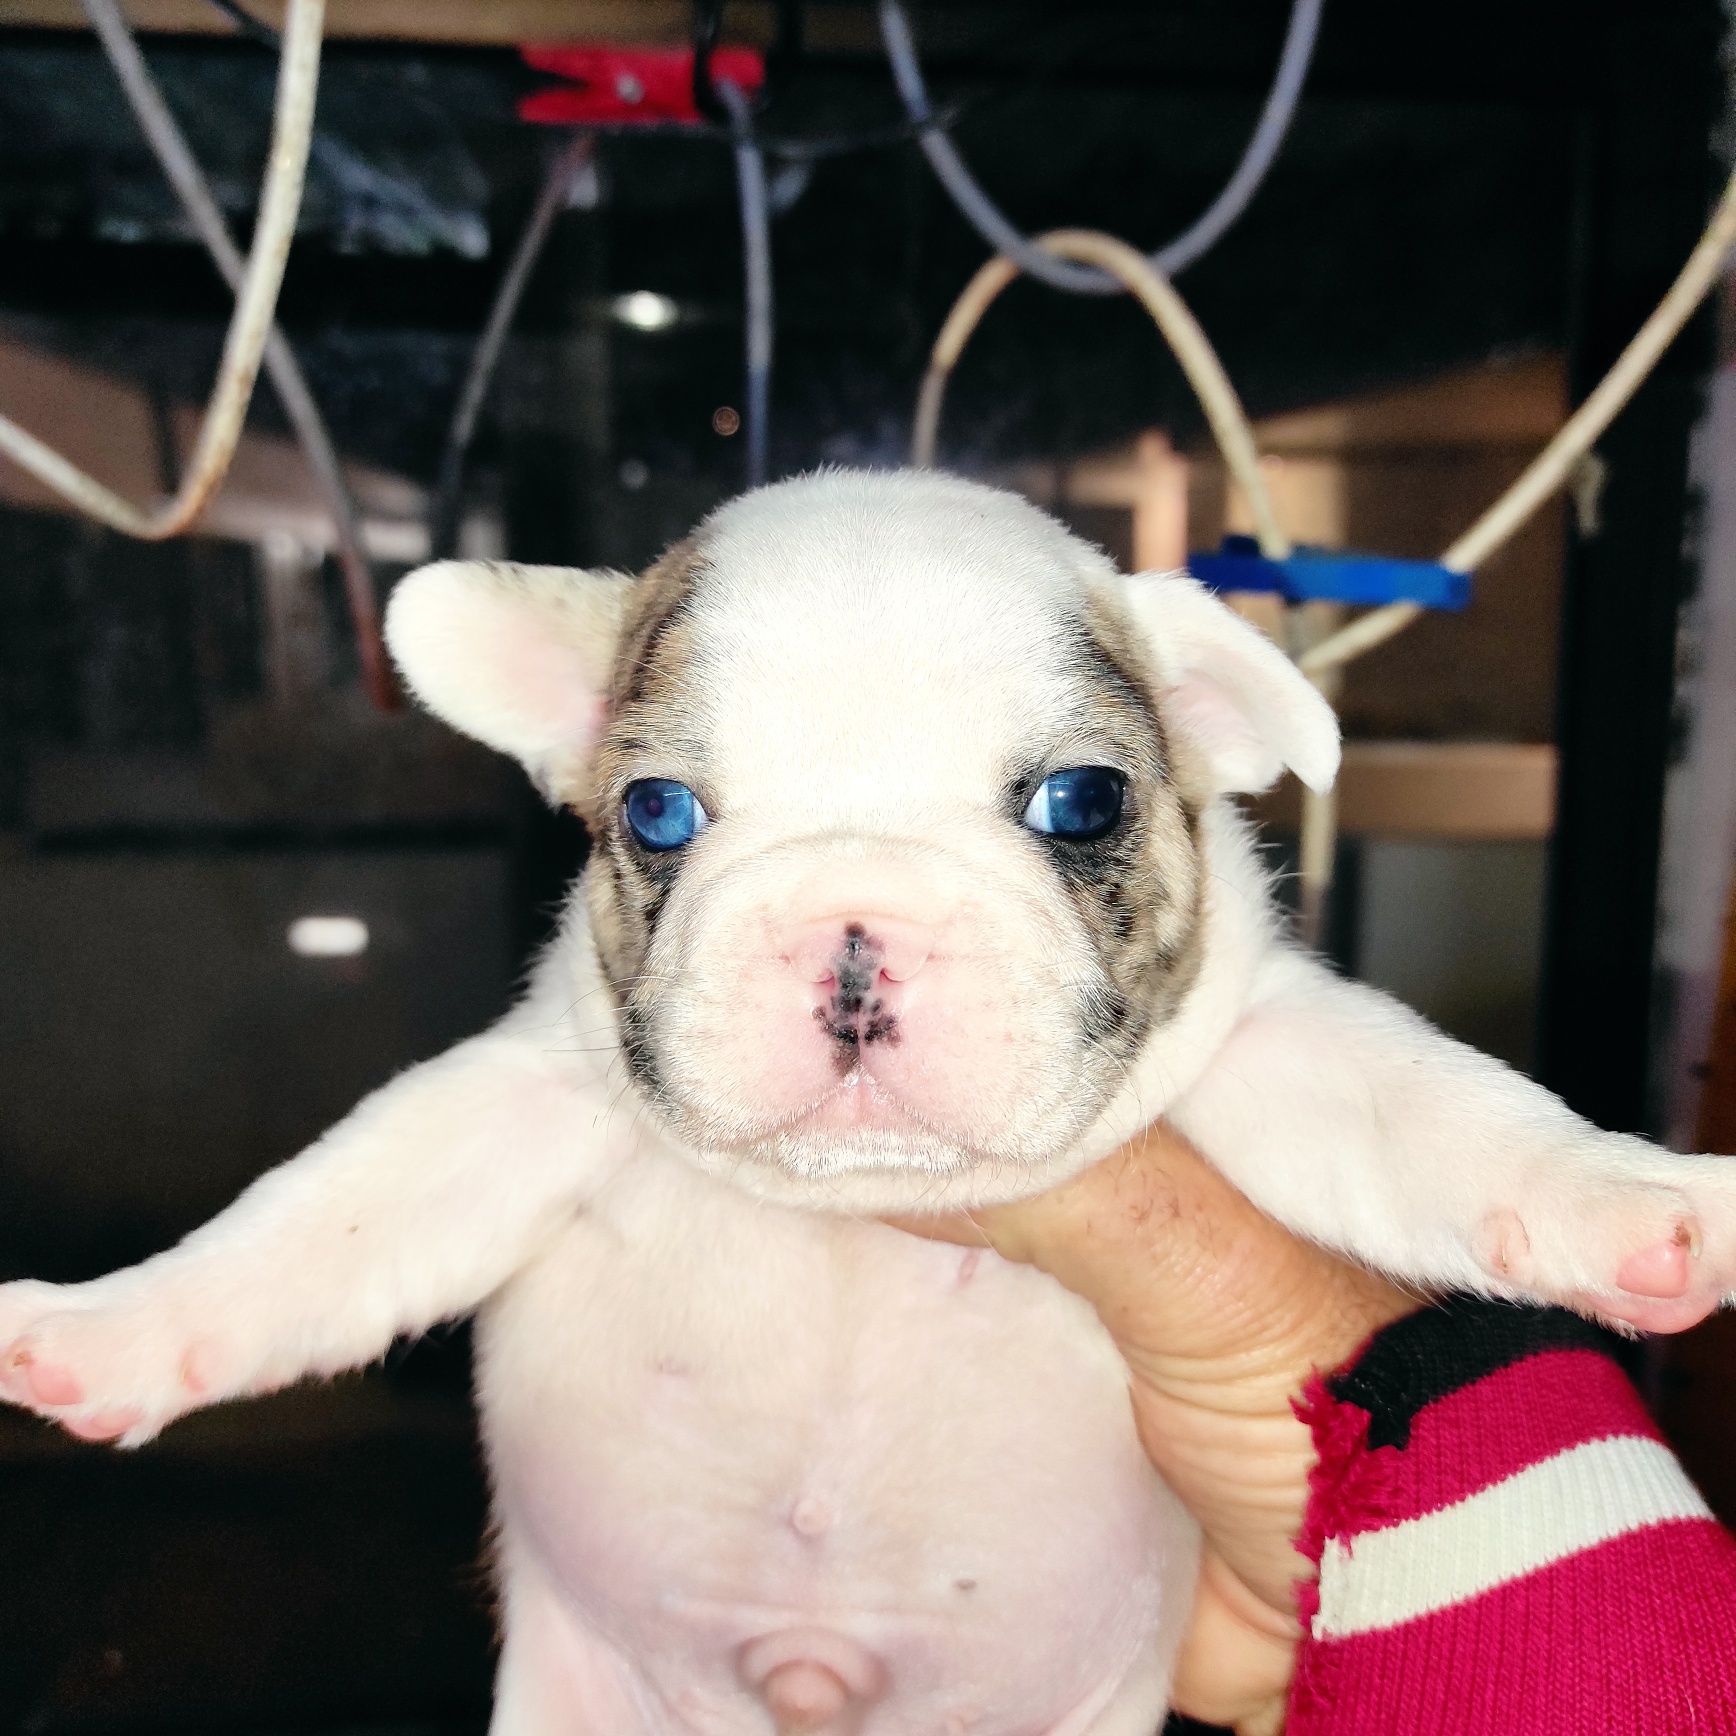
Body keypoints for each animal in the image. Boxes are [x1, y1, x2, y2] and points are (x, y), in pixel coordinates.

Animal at [3, 468, 1736, 1729]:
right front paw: (107, 1328)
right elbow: (310, 1227)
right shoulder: (522, 1108)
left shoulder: (1269, 1049)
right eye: (658, 811)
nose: (854, 922)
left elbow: (1444, 1114)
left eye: (1082, 802)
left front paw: (1641, 1202)